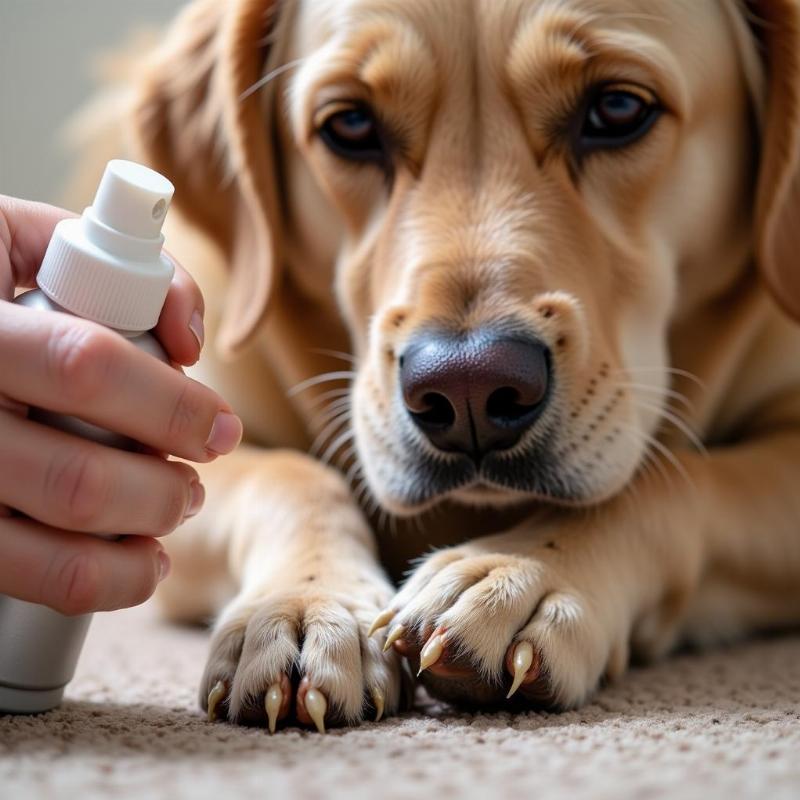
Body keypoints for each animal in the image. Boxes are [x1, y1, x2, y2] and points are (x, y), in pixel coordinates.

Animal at [94, 1, 800, 732]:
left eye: (618, 108)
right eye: (351, 125)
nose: (468, 388)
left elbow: (676, 481)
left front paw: (520, 573)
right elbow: (286, 477)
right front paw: (304, 606)